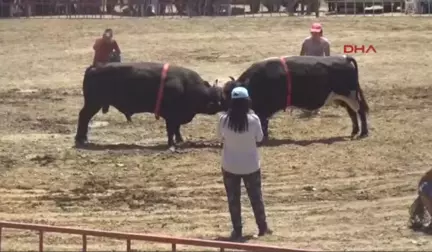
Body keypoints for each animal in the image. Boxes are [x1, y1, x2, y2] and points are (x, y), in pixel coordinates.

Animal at [74, 62, 223, 148]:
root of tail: (94, 67)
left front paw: (179, 140)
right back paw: (81, 139)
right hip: (93, 104)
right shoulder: (170, 116)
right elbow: (171, 129)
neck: (186, 85)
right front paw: (172, 144)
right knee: (84, 117)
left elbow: (176, 129)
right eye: (219, 98)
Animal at [223, 55, 368, 139]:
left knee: (360, 111)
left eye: (232, 97)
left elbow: (263, 122)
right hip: (344, 98)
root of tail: (345, 59)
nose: (230, 112)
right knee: (352, 113)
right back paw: (354, 132)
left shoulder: (265, 109)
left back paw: (363, 133)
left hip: (351, 95)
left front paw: (264, 137)